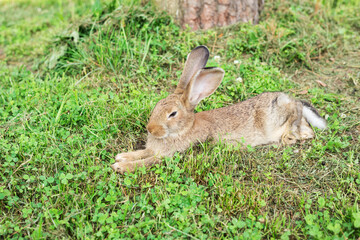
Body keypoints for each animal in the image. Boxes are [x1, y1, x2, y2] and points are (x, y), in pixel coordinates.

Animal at [111, 45, 328, 173]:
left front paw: (121, 166)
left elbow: (147, 162)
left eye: (172, 114)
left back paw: (287, 137)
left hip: (280, 115)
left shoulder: (169, 155)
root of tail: (289, 99)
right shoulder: (153, 150)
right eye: (156, 106)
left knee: (303, 125)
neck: (184, 129)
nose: (150, 129)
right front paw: (122, 156)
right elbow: (142, 153)